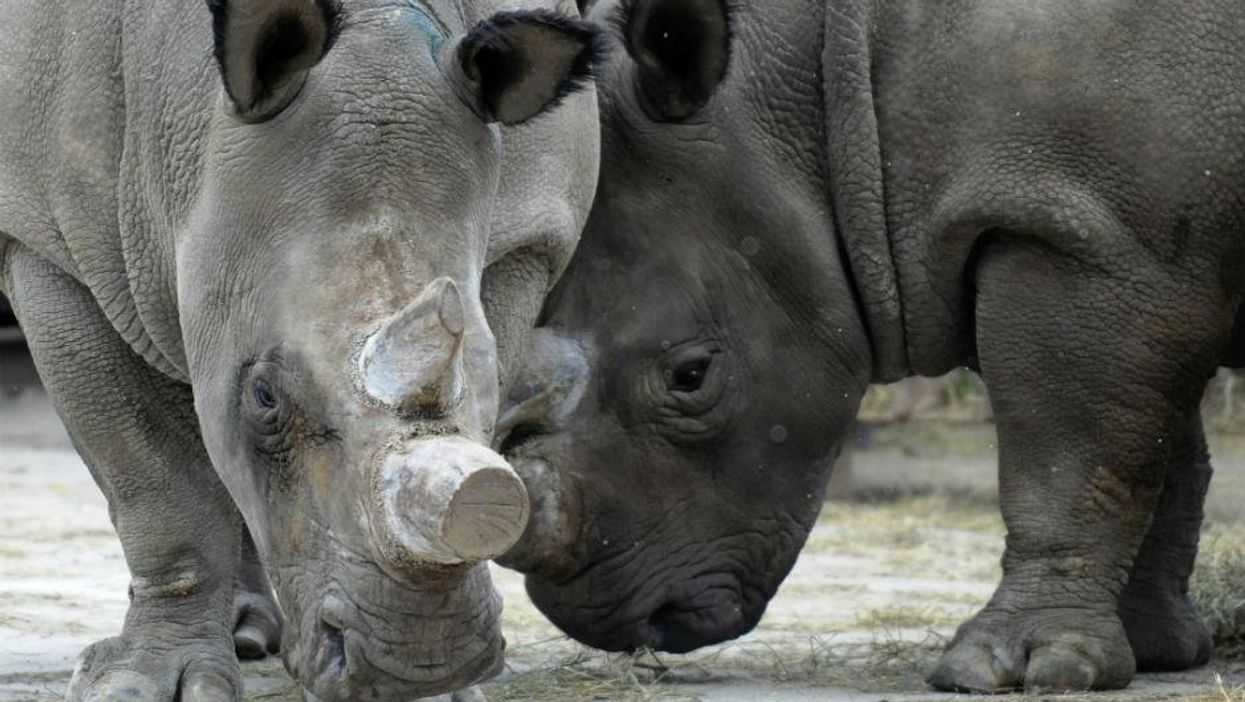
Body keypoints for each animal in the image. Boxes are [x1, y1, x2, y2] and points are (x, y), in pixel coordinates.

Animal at [0, 1, 600, 702]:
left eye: (489, 379)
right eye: (264, 397)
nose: (414, 662)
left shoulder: (527, 235)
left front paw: (444, 691)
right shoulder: (44, 243)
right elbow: (154, 475)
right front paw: (140, 685)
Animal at [495, 0, 1245, 692]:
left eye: (689, 376)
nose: (600, 618)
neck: (826, 113)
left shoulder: (1078, 233)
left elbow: (1067, 454)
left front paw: (1019, 670)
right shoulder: (1127, 250)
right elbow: (1153, 447)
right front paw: (1152, 652)